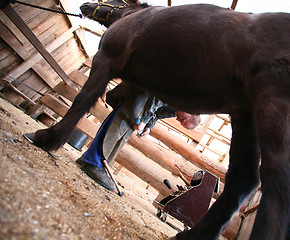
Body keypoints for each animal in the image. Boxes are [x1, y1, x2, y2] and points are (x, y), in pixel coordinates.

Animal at [26, 0, 288, 240]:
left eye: (112, 0)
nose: (84, 5)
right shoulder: (136, 84)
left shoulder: (106, 59)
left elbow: (83, 99)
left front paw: (47, 138)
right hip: (245, 116)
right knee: (243, 181)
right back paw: (190, 236)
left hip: (273, 107)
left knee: (277, 181)